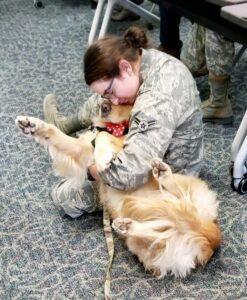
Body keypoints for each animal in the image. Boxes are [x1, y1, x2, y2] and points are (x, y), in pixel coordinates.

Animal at [15, 99, 221, 278]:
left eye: (125, 101)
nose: (104, 105)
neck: (114, 126)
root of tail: (211, 242)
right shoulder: (83, 150)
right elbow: (55, 133)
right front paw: (32, 125)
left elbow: (104, 137)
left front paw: (105, 158)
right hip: (147, 244)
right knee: (163, 229)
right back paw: (128, 225)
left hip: (191, 186)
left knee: (182, 203)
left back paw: (164, 175)